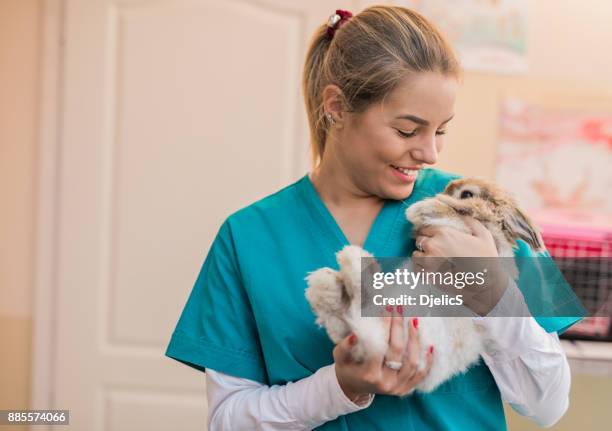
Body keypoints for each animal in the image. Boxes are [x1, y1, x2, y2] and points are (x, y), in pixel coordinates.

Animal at [306, 177, 544, 394]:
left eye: (466, 193)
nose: (438, 194)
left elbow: (455, 216)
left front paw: (422, 208)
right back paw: (335, 278)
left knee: (356, 319)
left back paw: (350, 265)